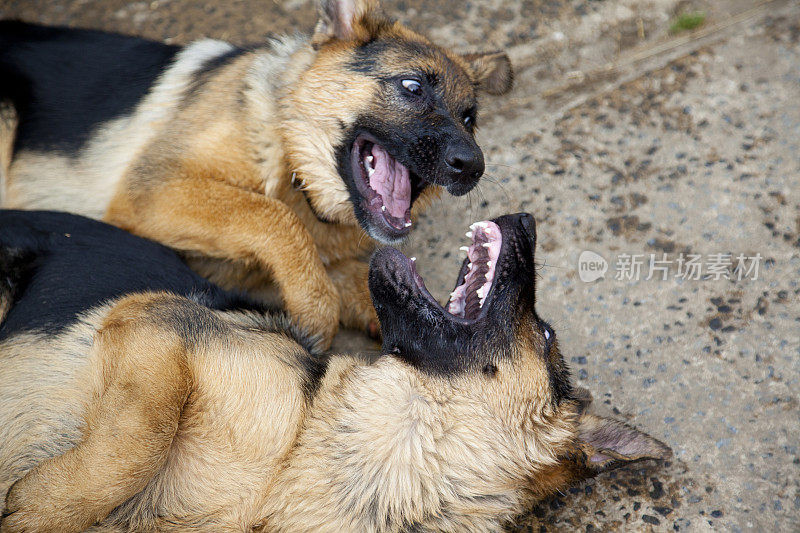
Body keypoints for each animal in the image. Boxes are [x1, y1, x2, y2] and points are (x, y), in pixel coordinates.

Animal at [0, 0, 512, 350]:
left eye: (470, 118)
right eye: (412, 86)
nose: (473, 166)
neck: (292, 166)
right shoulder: (151, 190)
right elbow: (270, 217)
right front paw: (314, 313)